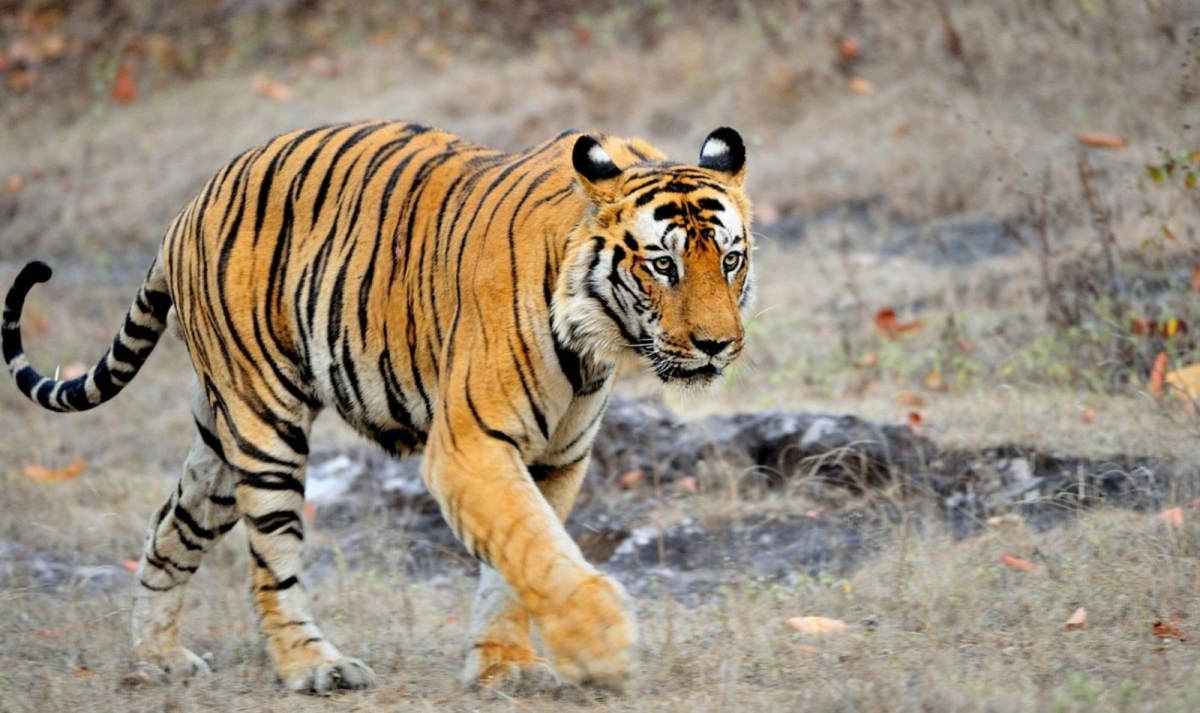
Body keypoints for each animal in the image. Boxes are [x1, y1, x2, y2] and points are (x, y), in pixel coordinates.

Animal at [2, 121, 753, 693]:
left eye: (732, 260)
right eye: (663, 265)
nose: (718, 345)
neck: (596, 336)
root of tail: (188, 207)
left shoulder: (556, 459)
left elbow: (516, 563)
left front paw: (505, 665)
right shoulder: (469, 446)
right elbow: (537, 548)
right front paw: (601, 644)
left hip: (218, 443)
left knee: (170, 527)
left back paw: (157, 657)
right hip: (265, 424)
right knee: (270, 563)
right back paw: (314, 667)